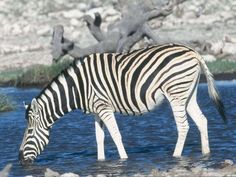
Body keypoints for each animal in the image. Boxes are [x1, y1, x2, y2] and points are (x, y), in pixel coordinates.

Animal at [18, 43, 225, 165]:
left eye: (29, 131)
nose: (19, 159)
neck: (78, 88)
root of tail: (193, 51)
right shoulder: (96, 111)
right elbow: (99, 137)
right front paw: (101, 162)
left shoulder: (104, 107)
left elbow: (116, 135)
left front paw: (124, 160)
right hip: (188, 94)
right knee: (202, 120)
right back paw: (206, 154)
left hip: (176, 93)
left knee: (183, 126)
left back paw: (176, 156)